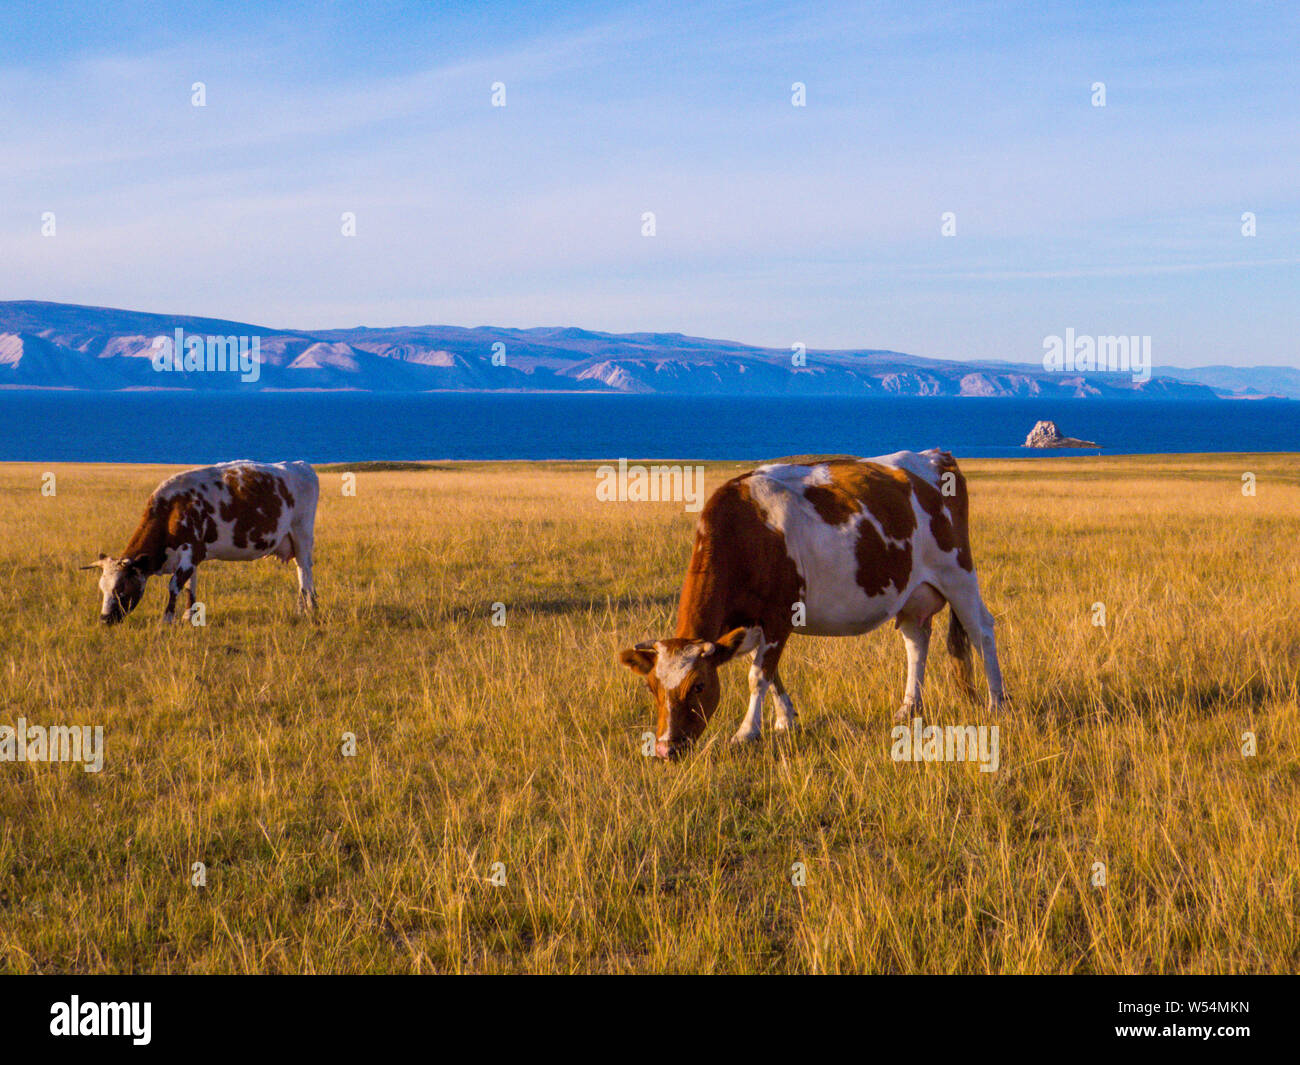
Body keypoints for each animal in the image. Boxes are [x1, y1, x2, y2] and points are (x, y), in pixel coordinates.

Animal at [85, 460, 317, 624]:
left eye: (120, 589)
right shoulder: (191, 558)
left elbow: (174, 586)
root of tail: (300, 465)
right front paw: (189, 616)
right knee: (301, 572)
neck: (171, 509)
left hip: (302, 534)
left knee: (304, 570)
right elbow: (190, 586)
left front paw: (167, 620)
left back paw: (309, 608)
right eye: (102, 589)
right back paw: (303, 608)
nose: (104, 620)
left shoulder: (192, 551)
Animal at [616, 449, 1003, 759]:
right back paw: (908, 708)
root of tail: (936, 455)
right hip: (912, 592)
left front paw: (746, 732)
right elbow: (772, 674)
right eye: (651, 687)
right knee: (916, 641)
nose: (665, 748)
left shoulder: (778, 616)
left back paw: (997, 701)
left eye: (698, 686)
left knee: (981, 630)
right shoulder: (752, 626)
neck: (747, 530)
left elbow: (758, 675)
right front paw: (785, 720)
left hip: (958, 573)